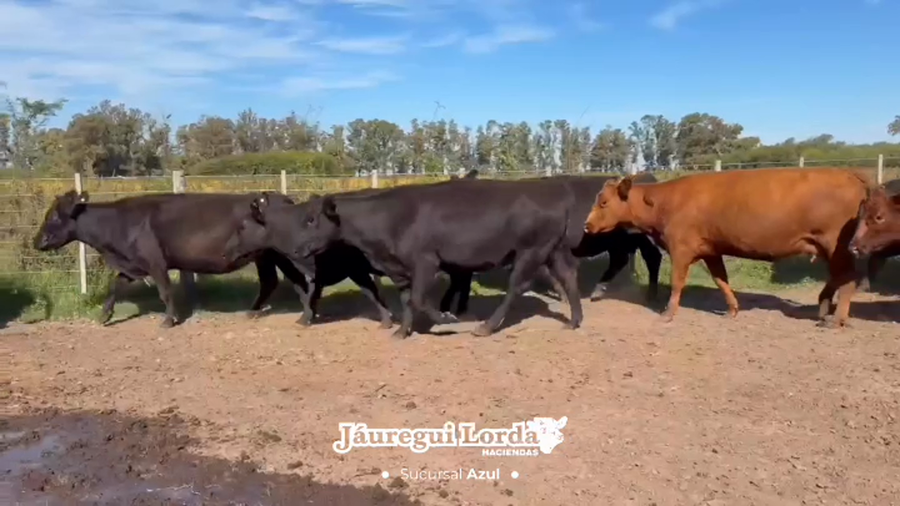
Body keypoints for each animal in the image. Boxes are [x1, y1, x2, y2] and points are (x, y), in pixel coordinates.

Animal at [33, 190, 311, 328]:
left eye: (54, 216)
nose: (37, 241)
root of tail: (282, 197)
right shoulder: (133, 265)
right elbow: (115, 286)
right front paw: (104, 316)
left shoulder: (156, 262)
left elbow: (165, 292)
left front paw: (168, 320)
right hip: (264, 256)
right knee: (270, 281)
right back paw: (253, 311)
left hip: (280, 254)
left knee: (296, 278)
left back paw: (305, 314)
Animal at [248, 177, 584, 338]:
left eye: (310, 220)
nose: (295, 250)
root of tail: (552, 190)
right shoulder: (402, 271)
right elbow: (408, 301)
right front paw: (402, 331)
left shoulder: (426, 263)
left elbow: (421, 300)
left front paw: (446, 319)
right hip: (553, 251)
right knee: (569, 277)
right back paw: (574, 321)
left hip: (530, 251)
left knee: (517, 287)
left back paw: (486, 326)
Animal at [437, 172, 663, 316]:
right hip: (621, 241)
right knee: (623, 260)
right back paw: (601, 290)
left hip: (639, 238)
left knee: (652, 258)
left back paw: (650, 295)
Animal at [583, 167, 872, 328]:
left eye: (604, 202)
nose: (586, 225)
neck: (665, 200)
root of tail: (850, 174)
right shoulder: (711, 251)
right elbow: (721, 280)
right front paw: (732, 310)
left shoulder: (680, 250)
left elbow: (677, 284)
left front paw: (667, 314)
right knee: (839, 279)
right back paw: (824, 310)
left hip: (836, 247)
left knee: (847, 280)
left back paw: (836, 319)